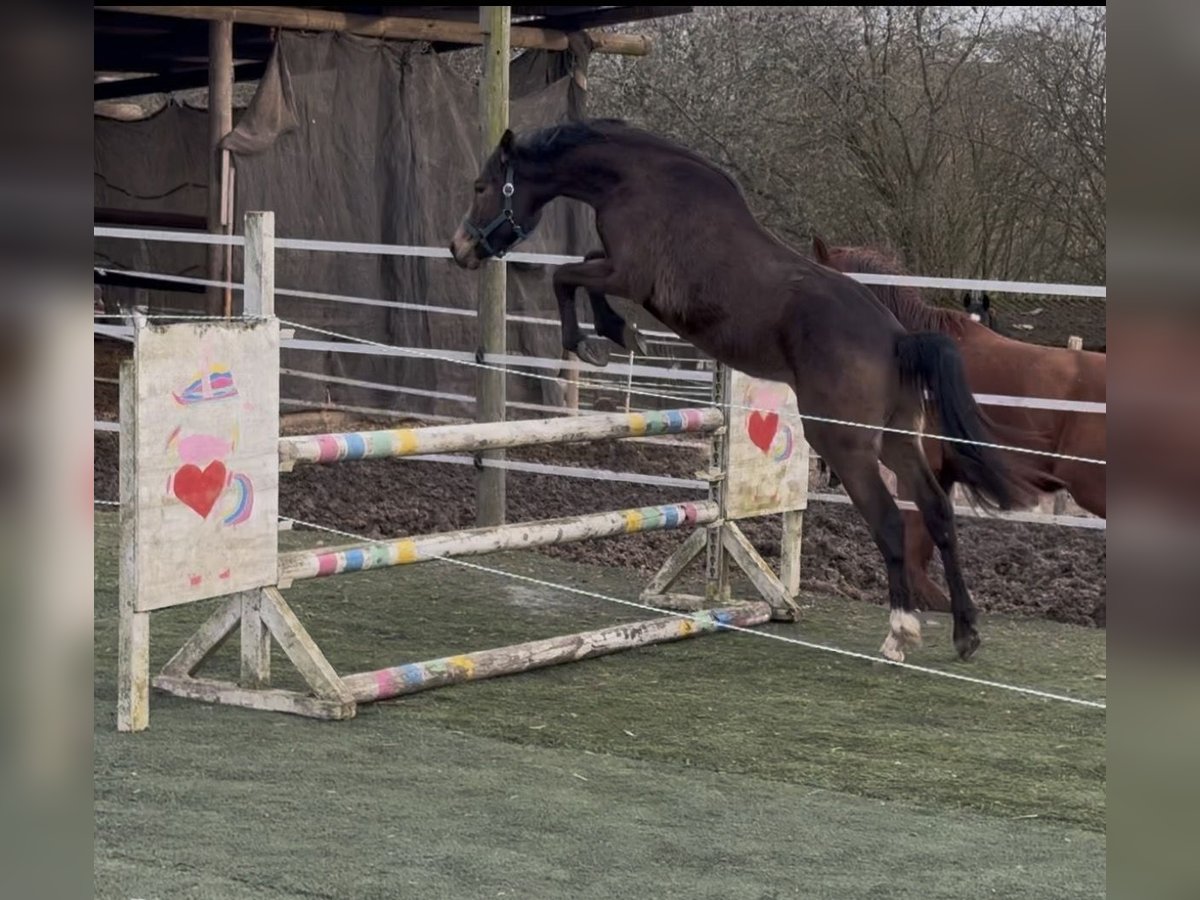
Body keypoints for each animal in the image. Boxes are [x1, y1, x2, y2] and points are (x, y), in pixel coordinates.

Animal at [450, 117, 1048, 662]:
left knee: (889, 523)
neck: (635, 181)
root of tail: (898, 338)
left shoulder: (628, 276)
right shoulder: (617, 270)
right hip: (899, 440)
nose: (460, 249)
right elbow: (582, 271)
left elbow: (566, 276)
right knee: (938, 514)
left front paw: (595, 339)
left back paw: (900, 633)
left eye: (480, 187)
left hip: (845, 445)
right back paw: (965, 633)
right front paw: (616, 333)